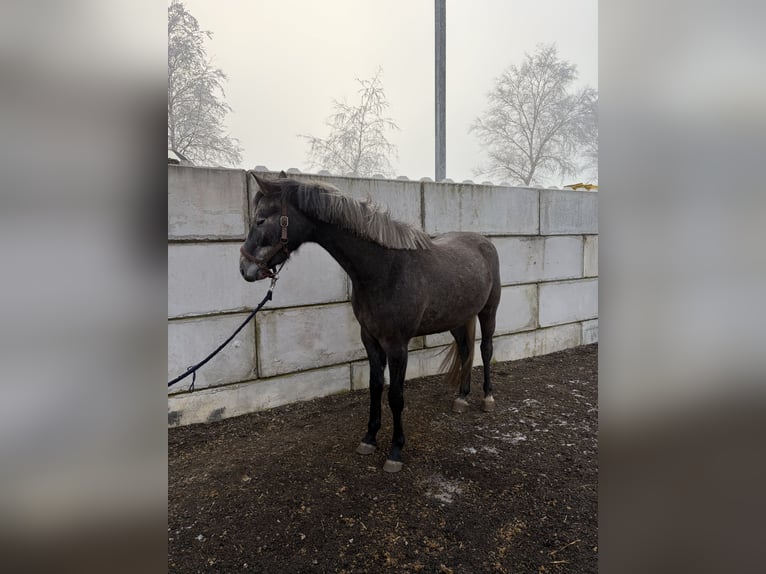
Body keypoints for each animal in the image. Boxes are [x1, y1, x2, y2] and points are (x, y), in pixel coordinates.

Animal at [240, 171, 501, 473]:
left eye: (260, 219)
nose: (244, 268)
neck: (384, 270)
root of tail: (483, 242)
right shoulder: (370, 339)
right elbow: (375, 387)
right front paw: (369, 438)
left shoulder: (397, 345)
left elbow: (396, 396)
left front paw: (395, 451)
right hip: (458, 318)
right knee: (466, 350)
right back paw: (461, 398)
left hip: (488, 312)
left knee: (485, 350)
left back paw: (487, 398)